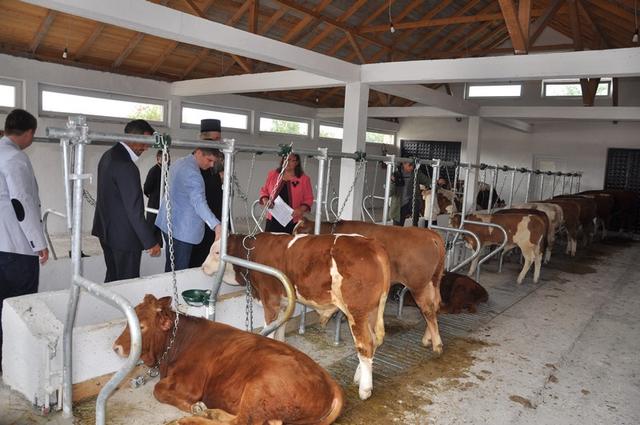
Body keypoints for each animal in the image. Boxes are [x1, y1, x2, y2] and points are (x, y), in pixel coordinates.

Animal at [115, 294, 344, 424]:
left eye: (142, 326)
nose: (115, 347)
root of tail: (330, 383)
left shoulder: (190, 384)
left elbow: (158, 390)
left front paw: (193, 407)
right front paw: (199, 408)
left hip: (258, 390)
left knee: (241, 422)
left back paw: (189, 420)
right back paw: (212, 414)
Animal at [202, 230, 390, 400]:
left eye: (217, 252)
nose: (202, 268)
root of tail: (372, 244)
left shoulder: (270, 299)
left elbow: (269, 329)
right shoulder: (284, 301)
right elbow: (280, 328)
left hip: (357, 311)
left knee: (365, 344)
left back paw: (365, 390)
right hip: (374, 310)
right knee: (375, 340)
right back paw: (359, 377)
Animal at [294, 219, 444, 354]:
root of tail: (430, 234)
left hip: (418, 285)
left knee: (428, 310)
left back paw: (436, 345)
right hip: (433, 282)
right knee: (436, 305)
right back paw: (428, 339)